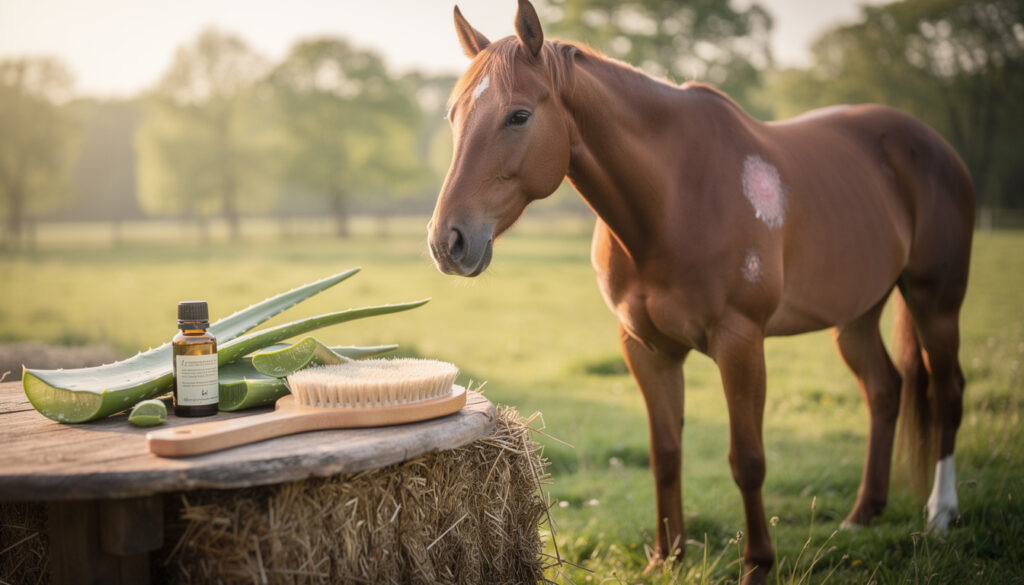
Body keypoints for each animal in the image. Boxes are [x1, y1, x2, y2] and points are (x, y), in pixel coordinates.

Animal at [426, 2, 974, 582]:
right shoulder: (646, 348)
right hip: (856, 316)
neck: (673, 200)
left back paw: (941, 514)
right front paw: (666, 556)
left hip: (936, 302)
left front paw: (757, 564)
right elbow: (665, 452)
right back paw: (862, 515)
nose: (446, 241)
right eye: (454, 116)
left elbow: (748, 459)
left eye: (519, 116)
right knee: (884, 389)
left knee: (947, 392)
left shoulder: (740, 342)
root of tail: (933, 145)